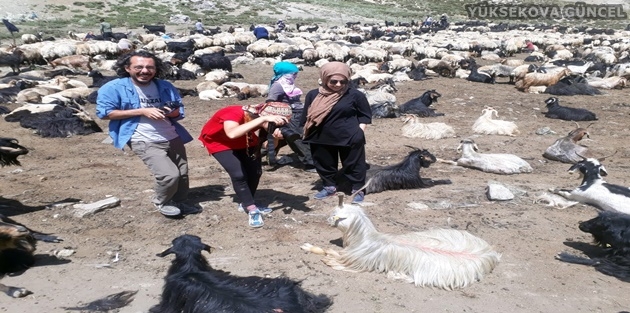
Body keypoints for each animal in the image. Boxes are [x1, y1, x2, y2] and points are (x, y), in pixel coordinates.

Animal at [302, 197, 504, 290]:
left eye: (334, 214)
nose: (327, 221)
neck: (364, 238)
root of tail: (490, 256)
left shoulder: (351, 259)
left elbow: (328, 253)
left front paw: (308, 247)